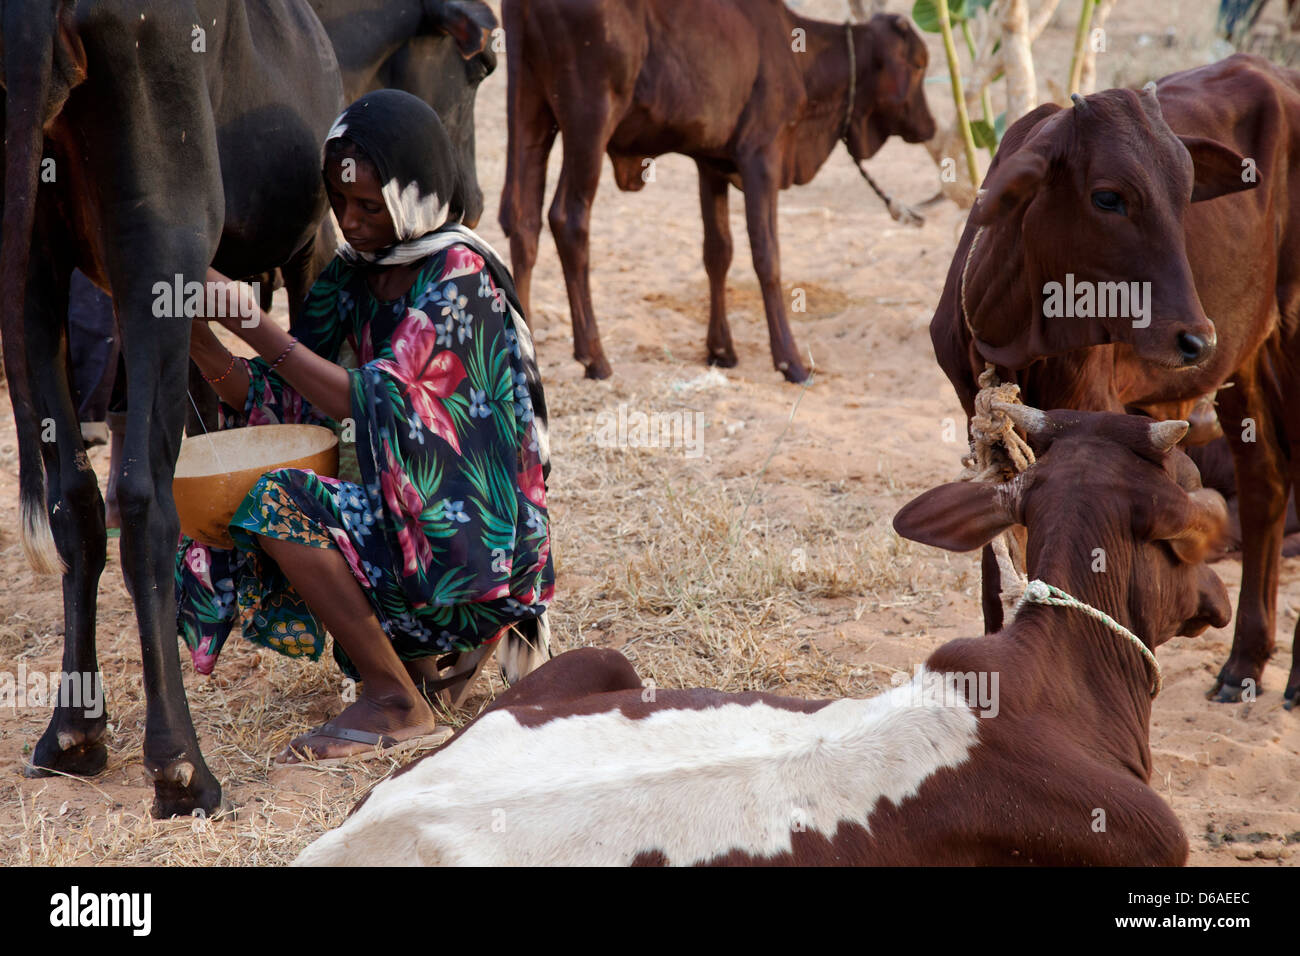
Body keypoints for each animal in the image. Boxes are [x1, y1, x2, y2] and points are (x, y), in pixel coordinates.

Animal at [1, 1, 345, 822]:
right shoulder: (314, 240)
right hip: (160, 232)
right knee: (142, 500)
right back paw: (181, 768)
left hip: (33, 255)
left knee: (74, 500)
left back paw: (72, 733)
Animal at [493, 0, 935, 382]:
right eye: (918, 64)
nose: (930, 126)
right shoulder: (762, 158)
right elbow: (767, 257)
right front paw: (789, 361)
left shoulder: (711, 163)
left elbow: (718, 252)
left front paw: (721, 350)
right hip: (589, 120)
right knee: (567, 219)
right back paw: (594, 356)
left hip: (530, 111)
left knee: (522, 220)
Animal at [925, 55, 1300, 707]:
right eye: (1108, 198)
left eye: (1185, 197)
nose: (1196, 339)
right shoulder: (986, 432)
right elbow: (997, 571)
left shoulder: (1096, 414)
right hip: (1247, 361)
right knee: (1266, 484)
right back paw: (1245, 663)